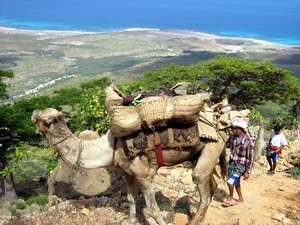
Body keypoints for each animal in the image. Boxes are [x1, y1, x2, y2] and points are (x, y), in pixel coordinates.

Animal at [31, 108, 227, 224]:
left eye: (48, 120)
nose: (34, 113)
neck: (110, 147)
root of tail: (218, 124)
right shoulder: (128, 173)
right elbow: (132, 199)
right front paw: (131, 220)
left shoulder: (144, 175)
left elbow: (153, 209)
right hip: (199, 154)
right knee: (211, 184)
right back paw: (201, 219)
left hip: (213, 145)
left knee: (201, 184)